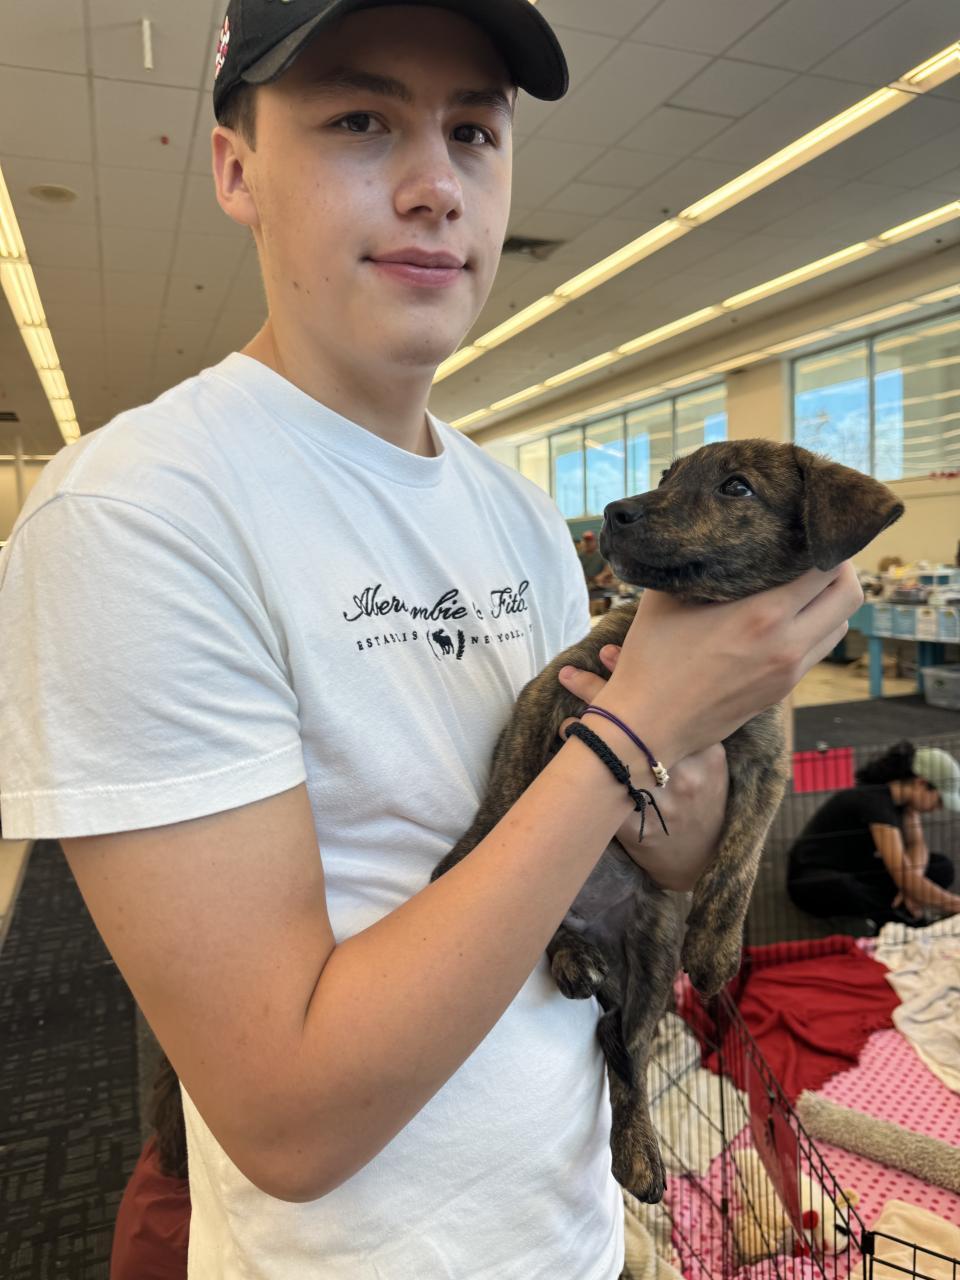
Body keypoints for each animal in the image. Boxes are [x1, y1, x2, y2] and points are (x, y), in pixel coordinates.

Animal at [430, 440, 903, 1203]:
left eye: (736, 488)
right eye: (665, 476)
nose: (615, 512)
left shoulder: (765, 762)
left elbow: (740, 858)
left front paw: (717, 951)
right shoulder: (559, 688)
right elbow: (518, 772)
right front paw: (475, 847)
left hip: (652, 959)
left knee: (620, 1047)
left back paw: (636, 1150)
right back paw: (570, 954)